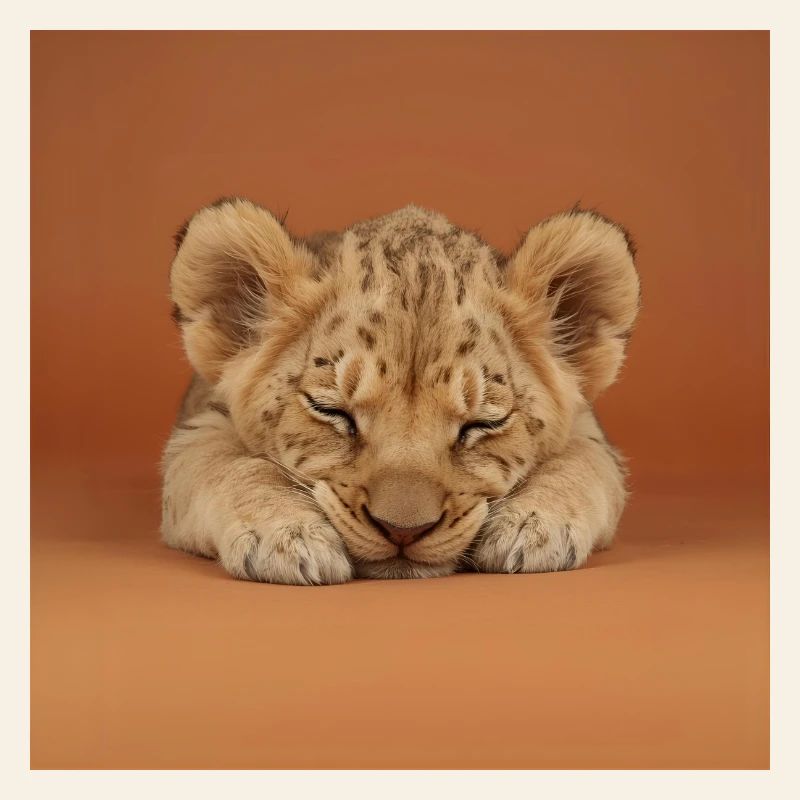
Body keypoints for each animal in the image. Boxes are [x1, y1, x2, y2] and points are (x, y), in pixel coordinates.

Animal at [161, 198, 640, 584]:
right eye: (331, 411)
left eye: (482, 424)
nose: (403, 531)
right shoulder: (199, 427)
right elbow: (230, 466)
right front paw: (283, 535)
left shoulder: (589, 431)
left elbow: (578, 464)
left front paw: (535, 526)